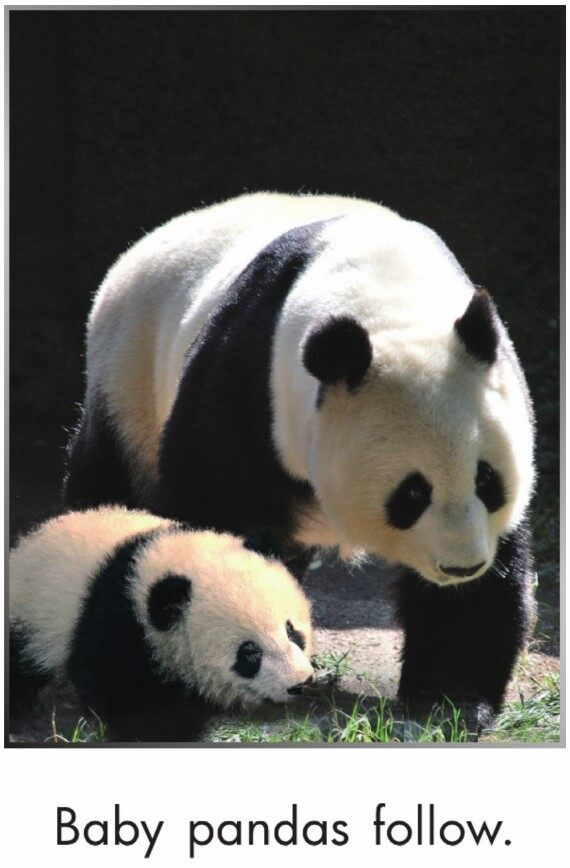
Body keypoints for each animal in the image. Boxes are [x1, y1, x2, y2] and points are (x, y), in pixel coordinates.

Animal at [9, 506, 314, 742]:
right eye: (249, 652)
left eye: (291, 631)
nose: (300, 683)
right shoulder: (117, 624)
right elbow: (122, 694)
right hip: (30, 612)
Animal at [64, 192, 535, 727]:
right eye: (413, 493)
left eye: (488, 481)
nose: (461, 567)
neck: (388, 298)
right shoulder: (249, 382)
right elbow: (208, 514)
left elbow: (487, 588)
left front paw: (450, 702)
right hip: (131, 377)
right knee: (108, 483)